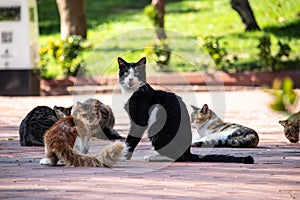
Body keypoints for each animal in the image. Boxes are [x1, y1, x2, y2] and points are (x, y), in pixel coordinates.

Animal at [117, 56, 253, 164]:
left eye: (136, 73)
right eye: (125, 73)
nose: (130, 80)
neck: (131, 92)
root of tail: (188, 152)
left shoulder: (140, 120)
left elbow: (131, 139)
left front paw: (124, 156)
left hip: (157, 128)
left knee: (178, 158)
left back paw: (154, 157)